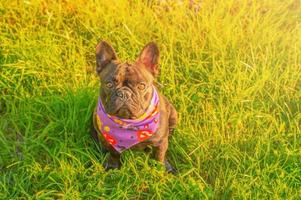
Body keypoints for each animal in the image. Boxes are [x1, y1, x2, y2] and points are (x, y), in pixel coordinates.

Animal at [90, 39, 177, 173]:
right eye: (109, 84)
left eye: (141, 86)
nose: (124, 94)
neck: (128, 124)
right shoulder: (108, 142)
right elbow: (113, 154)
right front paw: (113, 166)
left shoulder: (160, 143)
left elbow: (159, 157)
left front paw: (161, 169)